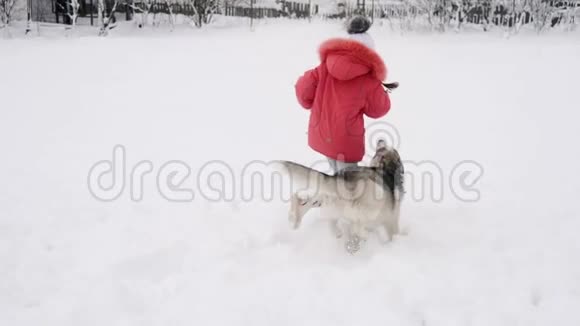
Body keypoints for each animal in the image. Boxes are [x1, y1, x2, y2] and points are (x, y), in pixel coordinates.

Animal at [276, 139, 404, 253]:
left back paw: (295, 218)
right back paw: (362, 236)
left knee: (306, 198)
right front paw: (394, 242)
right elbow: (394, 232)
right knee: (358, 227)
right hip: (373, 201)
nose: (380, 140)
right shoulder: (392, 218)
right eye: (382, 149)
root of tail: (346, 178)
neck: (385, 169)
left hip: (330, 201)